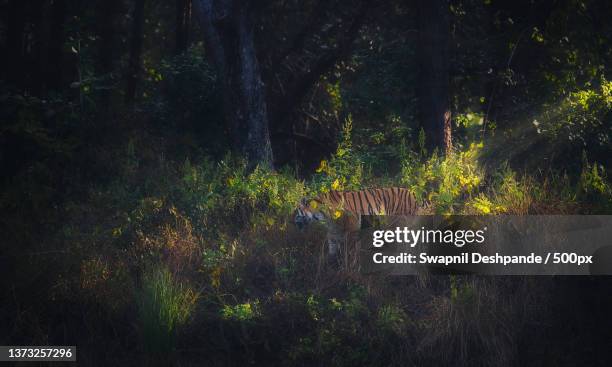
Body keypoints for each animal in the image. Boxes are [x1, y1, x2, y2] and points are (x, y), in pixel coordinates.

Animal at [296, 188, 430, 260]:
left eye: (296, 213)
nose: (294, 223)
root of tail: (413, 194)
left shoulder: (352, 224)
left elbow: (352, 247)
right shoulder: (333, 229)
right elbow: (332, 245)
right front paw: (330, 263)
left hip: (400, 221)